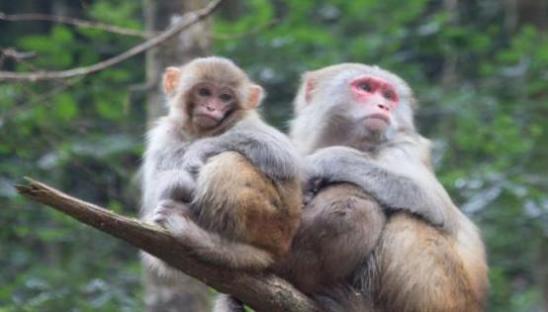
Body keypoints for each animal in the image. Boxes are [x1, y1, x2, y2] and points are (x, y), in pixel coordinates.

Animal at [140, 56, 304, 278]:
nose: (211, 107)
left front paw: (198, 150)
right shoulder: (166, 134)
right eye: (204, 92)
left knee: (228, 161)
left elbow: (282, 154)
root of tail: (280, 247)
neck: (202, 132)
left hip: (271, 221)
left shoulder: (247, 121)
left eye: (225, 97)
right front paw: (177, 182)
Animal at [282, 62, 488, 310]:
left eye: (388, 95)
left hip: (451, 297)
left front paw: (326, 160)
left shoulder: (405, 147)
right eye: (365, 87)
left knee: (406, 220)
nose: (384, 106)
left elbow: (436, 207)